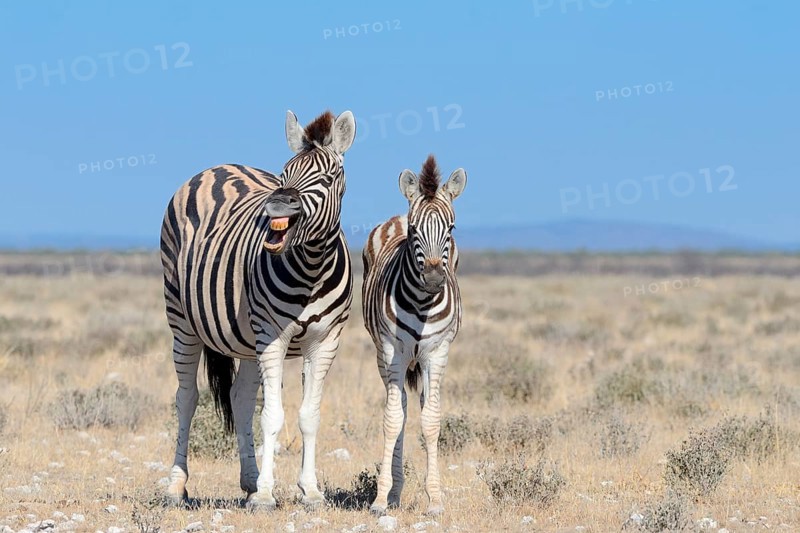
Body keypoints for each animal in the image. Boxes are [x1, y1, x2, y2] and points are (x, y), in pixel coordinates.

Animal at [159, 110, 356, 510]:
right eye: (284, 174)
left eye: (329, 177)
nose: (277, 205)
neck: (312, 266)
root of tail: (216, 167)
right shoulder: (273, 336)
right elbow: (273, 416)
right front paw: (266, 495)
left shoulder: (325, 341)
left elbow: (308, 416)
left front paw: (310, 491)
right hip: (182, 321)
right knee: (186, 398)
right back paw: (176, 486)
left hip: (247, 340)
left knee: (239, 399)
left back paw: (248, 480)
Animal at [361, 154, 467, 516]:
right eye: (414, 229)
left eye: (451, 228)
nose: (434, 279)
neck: (422, 303)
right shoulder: (392, 351)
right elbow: (393, 420)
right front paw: (381, 498)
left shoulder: (438, 352)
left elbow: (431, 421)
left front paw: (435, 498)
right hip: (384, 357)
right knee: (403, 409)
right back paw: (395, 492)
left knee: (420, 406)